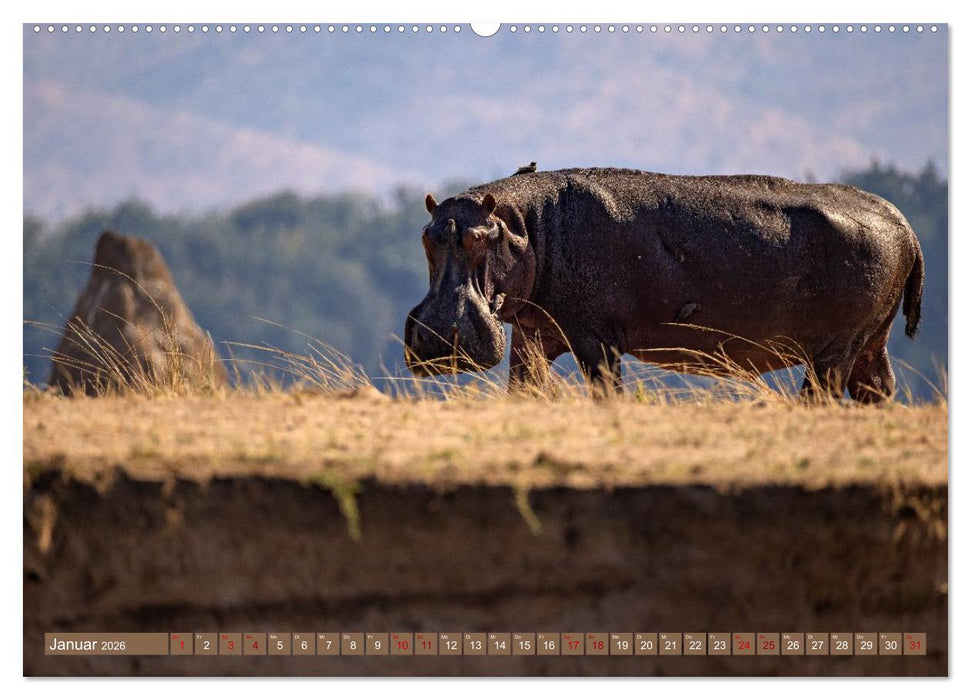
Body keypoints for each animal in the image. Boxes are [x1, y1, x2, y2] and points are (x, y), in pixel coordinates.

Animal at [404, 167, 924, 402]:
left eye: (479, 237)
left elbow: (606, 389)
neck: (527, 226)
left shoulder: (595, 338)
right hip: (868, 344)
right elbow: (524, 387)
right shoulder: (534, 334)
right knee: (878, 388)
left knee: (821, 394)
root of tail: (905, 227)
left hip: (834, 350)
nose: (439, 336)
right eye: (427, 234)